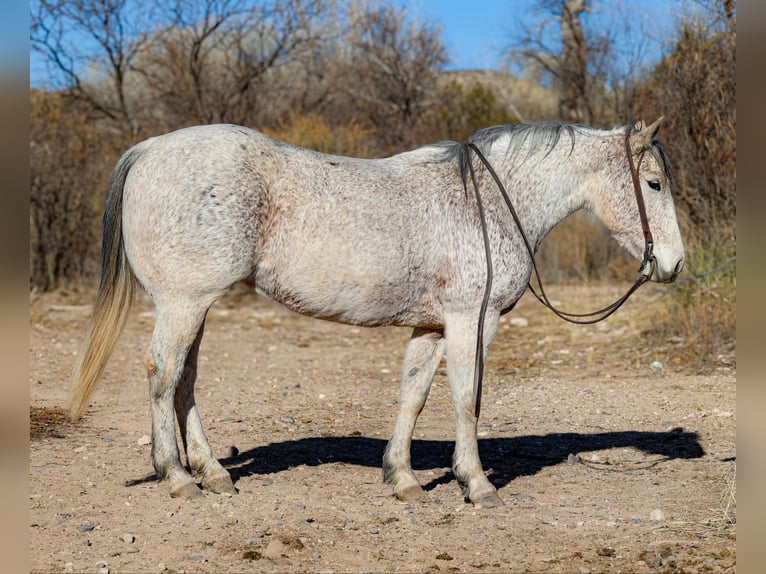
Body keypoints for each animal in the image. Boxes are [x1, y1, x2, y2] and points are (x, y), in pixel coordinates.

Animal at [69, 118, 684, 506]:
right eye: (653, 183)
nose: (674, 264)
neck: (486, 201)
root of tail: (150, 149)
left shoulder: (432, 326)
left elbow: (413, 395)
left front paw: (403, 478)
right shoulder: (472, 321)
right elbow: (467, 398)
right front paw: (476, 483)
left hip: (194, 306)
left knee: (185, 382)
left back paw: (213, 473)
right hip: (183, 303)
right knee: (163, 375)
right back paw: (176, 477)